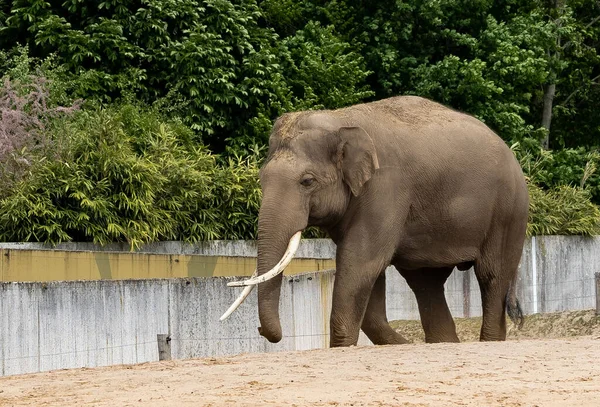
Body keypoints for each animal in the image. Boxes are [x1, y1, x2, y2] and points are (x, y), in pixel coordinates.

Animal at [220, 95, 524, 348]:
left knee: (492, 275)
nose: (261, 331)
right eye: (261, 179)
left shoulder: (385, 189)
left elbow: (360, 263)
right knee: (426, 283)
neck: (340, 120)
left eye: (307, 181)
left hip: (507, 213)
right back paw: (444, 343)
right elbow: (368, 275)